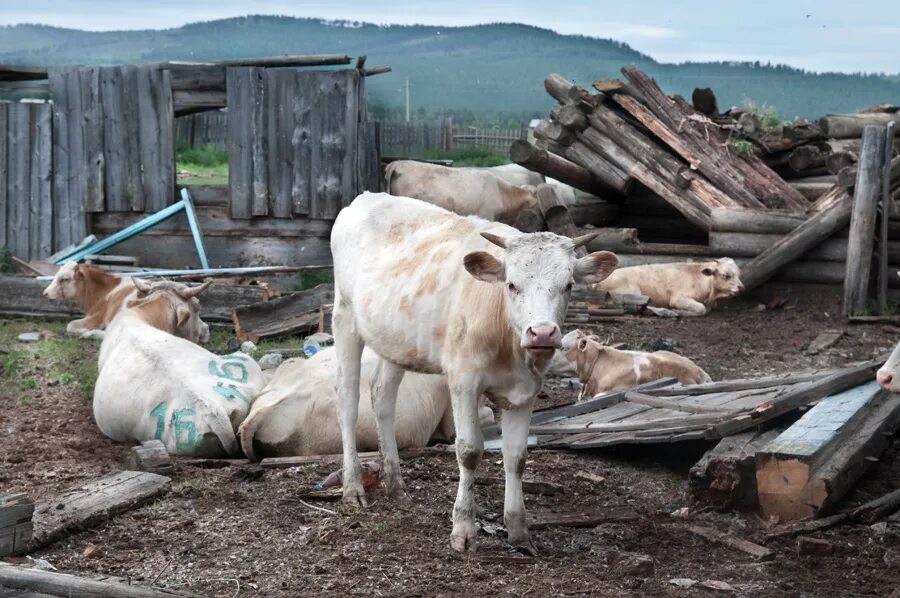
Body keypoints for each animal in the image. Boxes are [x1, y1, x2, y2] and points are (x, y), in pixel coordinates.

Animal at [330, 193, 620, 556]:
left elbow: (517, 457)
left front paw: (519, 531)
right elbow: (469, 451)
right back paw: (353, 486)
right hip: (344, 319)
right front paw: (464, 528)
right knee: (348, 403)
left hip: (395, 340)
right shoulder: (463, 381)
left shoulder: (527, 391)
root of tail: (366, 197)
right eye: (511, 284)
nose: (542, 333)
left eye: (568, 285)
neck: (510, 345)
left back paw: (395, 484)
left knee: (382, 397)